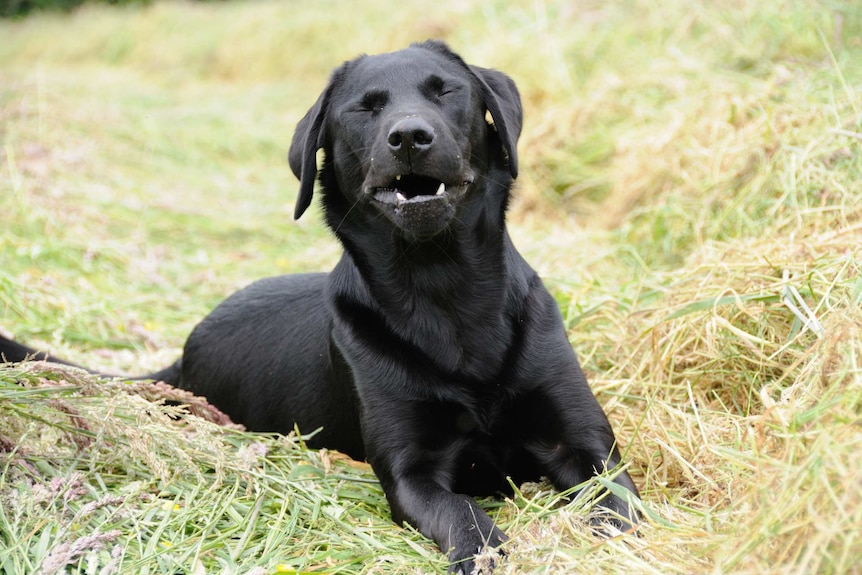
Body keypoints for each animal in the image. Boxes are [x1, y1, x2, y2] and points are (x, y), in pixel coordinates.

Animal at [1, 41, 640, 575]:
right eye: (366, 108)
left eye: (446, 92)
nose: (409, 136)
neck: (444, 291)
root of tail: (181, 358)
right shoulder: (412, 473)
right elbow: (465, 517)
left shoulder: (584, 446)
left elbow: (620, 506)